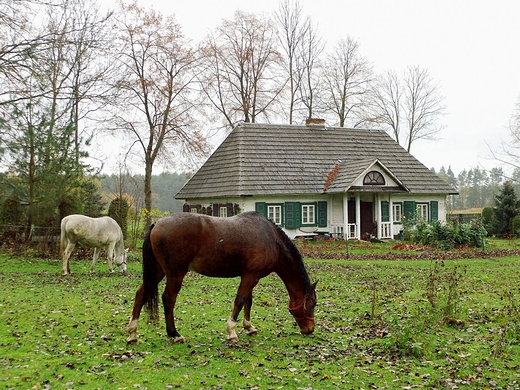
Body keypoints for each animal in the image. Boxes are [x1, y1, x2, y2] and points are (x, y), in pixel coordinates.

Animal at [128, 212, 318, 342]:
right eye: (313, 304)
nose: (310, 329)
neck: (271, 239)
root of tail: (156, 224)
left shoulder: (250, 276)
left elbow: (248, 301)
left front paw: (249, 327)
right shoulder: (251, 276)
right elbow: (239, 301)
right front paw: (232, 331)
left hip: (158, 271)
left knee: (141, 294)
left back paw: (132, 333)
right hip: (175, 274)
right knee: (168, 299)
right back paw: (174, 333)